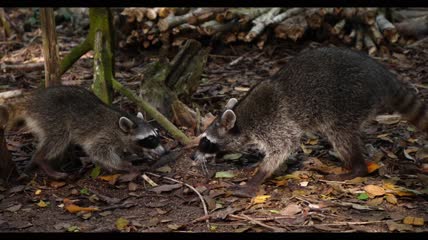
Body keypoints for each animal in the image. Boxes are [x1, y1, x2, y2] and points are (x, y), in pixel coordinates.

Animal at [0, 85, 166, 179]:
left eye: (156, 135)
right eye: (151, 139)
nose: (164, 151)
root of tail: (32, 101)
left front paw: (141, 153)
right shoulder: (105, 134)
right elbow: (98, 151)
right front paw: (124, 165)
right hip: (52, 117)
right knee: (58, 138)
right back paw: (41, 159)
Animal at [192, 46, 426, 197]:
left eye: (205, 141)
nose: (193, 157)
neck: (242, 118)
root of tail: (383, 75)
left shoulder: (274, 123)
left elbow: (284, 146)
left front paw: (258, 177)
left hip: (350, 101)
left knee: (340, 135)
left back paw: (357, 169)